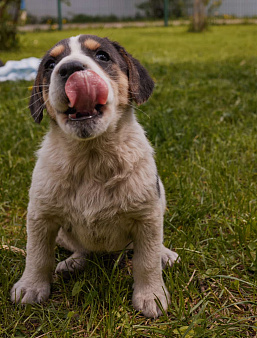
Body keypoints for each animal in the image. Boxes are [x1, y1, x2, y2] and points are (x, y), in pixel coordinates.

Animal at [10, 35, 178, 318]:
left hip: (160, 199)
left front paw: (151, 295)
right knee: (81, 248)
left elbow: (147, 260)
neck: (91, 159)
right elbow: (37, 255)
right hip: (63, 235)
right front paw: (30, 287)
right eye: (50, 64)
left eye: (102, 56)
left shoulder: (147, 217)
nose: (70, 68)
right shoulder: (40, 216)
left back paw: (165, 255)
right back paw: (73, 262)